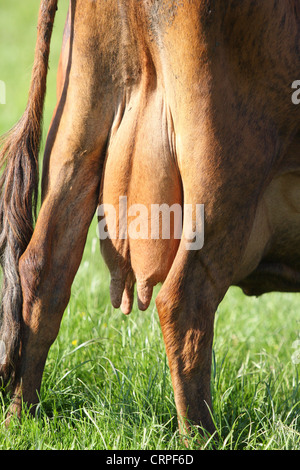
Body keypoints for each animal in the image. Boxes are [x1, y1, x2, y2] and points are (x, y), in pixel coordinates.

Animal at [0, 0, 298, 440]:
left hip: (74, 138)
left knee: (42, 274)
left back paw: (23, 417)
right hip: (225, 176)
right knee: (183, 302)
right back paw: (204, 435)